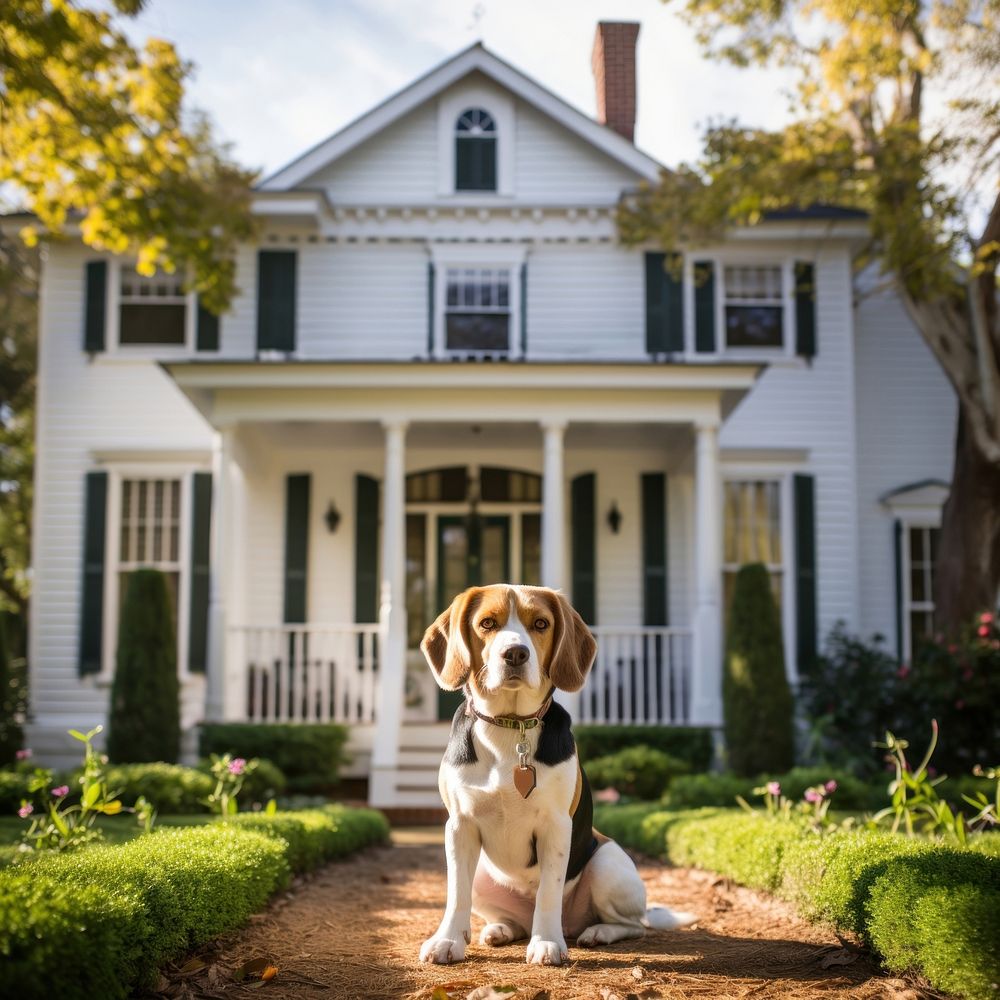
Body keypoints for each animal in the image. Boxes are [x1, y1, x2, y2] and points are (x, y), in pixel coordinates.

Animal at [418, 584, 692, 964]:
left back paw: (597, 932)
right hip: (485, 876)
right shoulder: (459, 825)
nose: (515, 653)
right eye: (487, 623)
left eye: (541, 623)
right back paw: (501, 929)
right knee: (509, 917)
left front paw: (546, 943)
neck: (511, 727)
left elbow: (549, 891)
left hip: (607, 864)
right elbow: (457, 893)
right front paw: (447, 940)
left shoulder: (556, 826)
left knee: (634, 925)